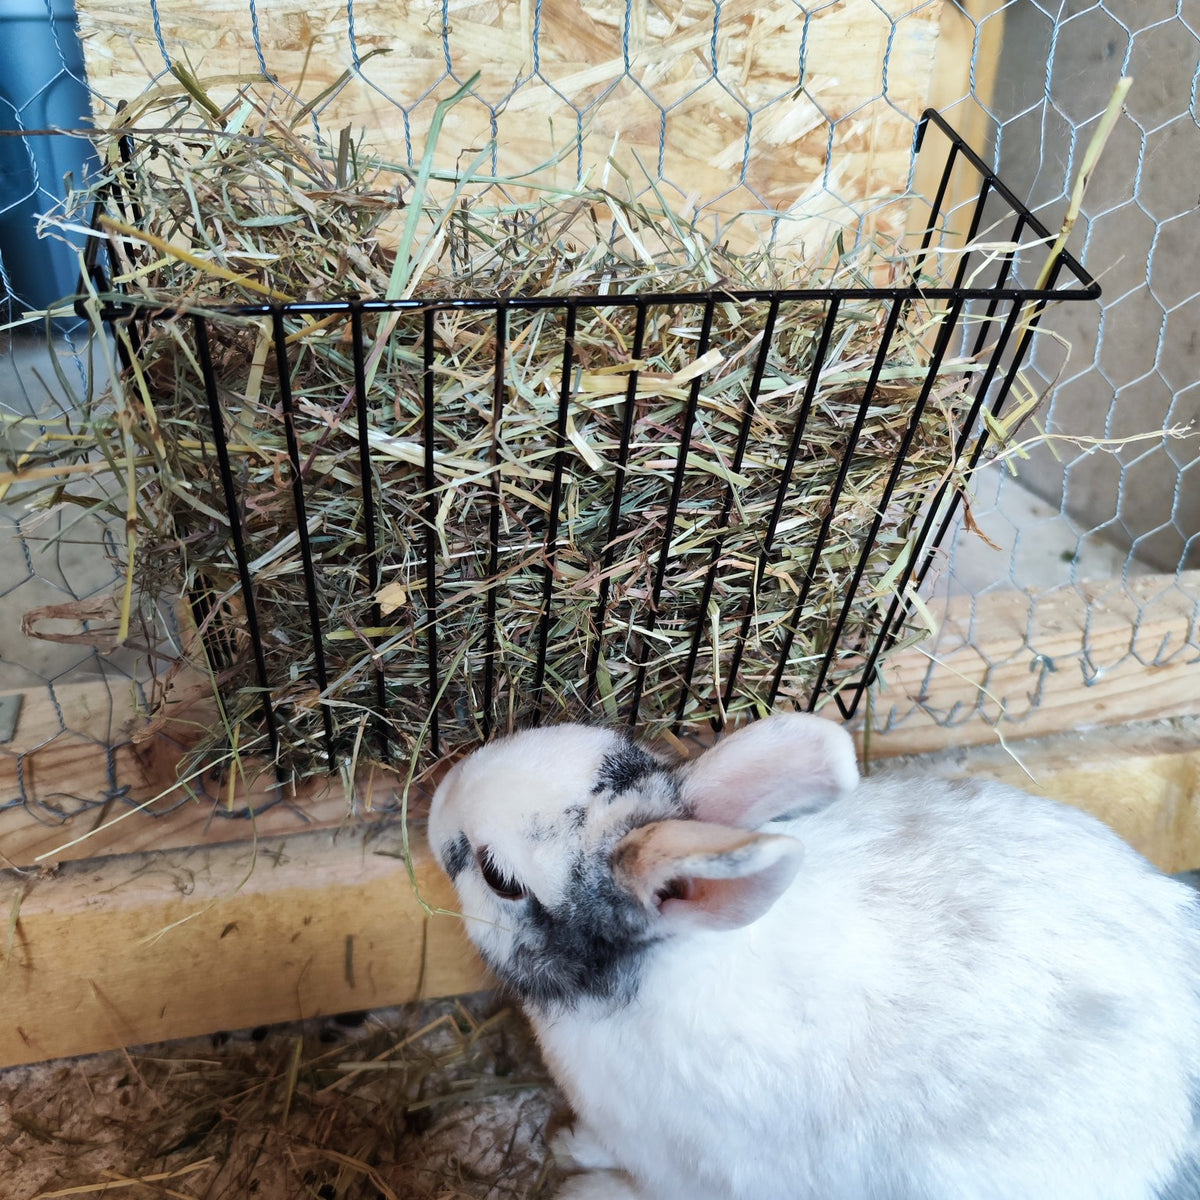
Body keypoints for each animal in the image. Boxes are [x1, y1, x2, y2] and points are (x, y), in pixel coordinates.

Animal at [427, 713, 1200, 1200]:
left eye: (500, 878)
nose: (435, 806)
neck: (666, 963)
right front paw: (572, 1146)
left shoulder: (692, 1167)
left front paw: (580, 1179)